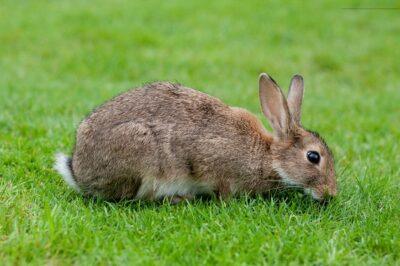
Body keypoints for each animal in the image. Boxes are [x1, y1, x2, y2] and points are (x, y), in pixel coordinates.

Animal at [54, 72, 336, 202]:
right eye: (313, 157)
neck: (269, 156)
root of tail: (78, 172)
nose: (331, 194)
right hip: (141, 154)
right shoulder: (214, 163)